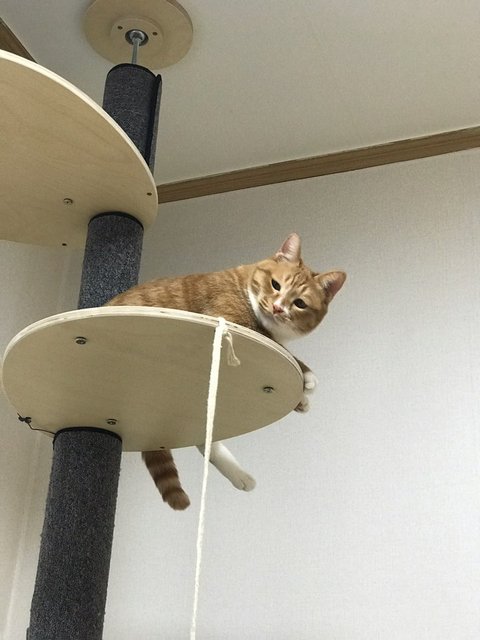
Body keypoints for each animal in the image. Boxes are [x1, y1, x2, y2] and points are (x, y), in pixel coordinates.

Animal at [106, 233, 346, 510]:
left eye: (299, 303)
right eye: (275, 285)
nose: (277, 308)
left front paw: (302, 396)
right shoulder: (231, 322)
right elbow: (275, 344)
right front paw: (306, 378)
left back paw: (242, 477)